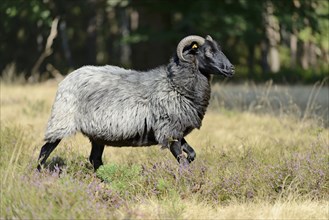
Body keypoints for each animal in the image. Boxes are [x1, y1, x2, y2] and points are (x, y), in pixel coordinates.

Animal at [37, 35, 234, 171]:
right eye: (208, 52)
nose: (231, 69)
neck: (175, 85)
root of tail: (66, 80)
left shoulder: (174, 130)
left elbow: (191, 154)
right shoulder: (169, 130)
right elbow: (182, 160)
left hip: (97, 134)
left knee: (95, 159)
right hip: (61, 121)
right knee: (44, 151)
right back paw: (39, 175)